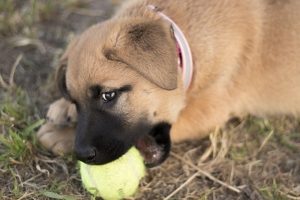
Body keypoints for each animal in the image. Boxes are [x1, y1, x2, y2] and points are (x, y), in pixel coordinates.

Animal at [37, 0, 300, 166]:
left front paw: (62, 135)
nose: (81, 154)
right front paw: (63, 108)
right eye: (76, 101)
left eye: (108, 95)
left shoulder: (209, 110)